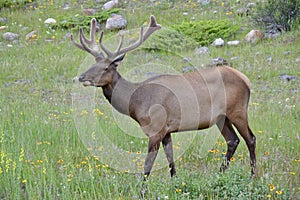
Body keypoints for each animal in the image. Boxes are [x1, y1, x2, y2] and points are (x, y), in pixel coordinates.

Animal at [70, 15, 255, 178]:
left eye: (106, 68)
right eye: (93, 64)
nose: (81, 77)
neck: (135, 103)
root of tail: (245, 79)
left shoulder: (155, 129)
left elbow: (147, 165)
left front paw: (142, 191)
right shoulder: (166, 131)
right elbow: (170, 158)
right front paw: (175, 181)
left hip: (237, 110)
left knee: (250, 139)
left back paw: (252, 176)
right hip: (221, 117)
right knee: (232, 140)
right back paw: (220, 173)